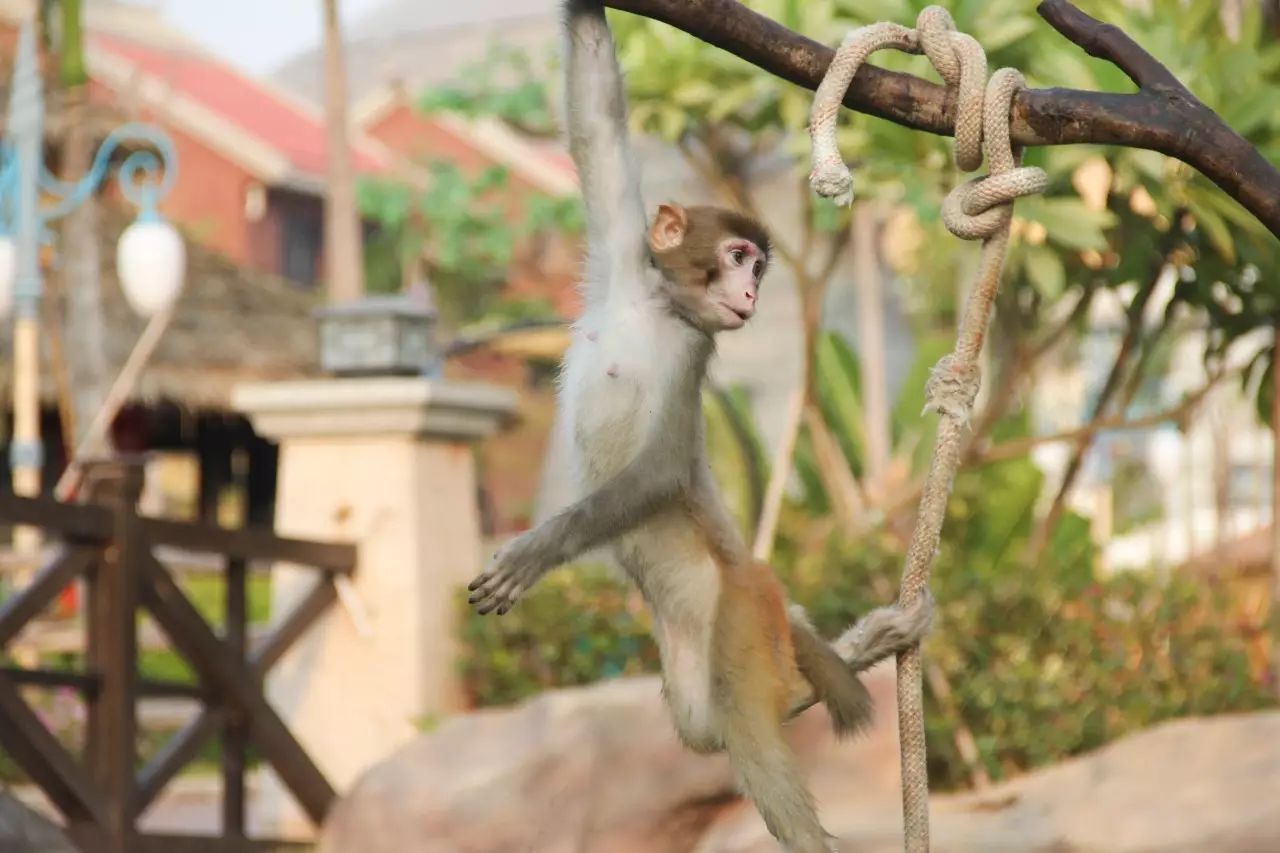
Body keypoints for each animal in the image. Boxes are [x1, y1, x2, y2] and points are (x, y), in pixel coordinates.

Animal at [465, 3, 936, 845]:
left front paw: (535, 550)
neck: (657, 309)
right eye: (742, 256)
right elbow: (596, 122)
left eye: (759, 268)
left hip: (742, 605)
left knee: (745, 723)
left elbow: (659, 470)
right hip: (698, 640)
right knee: (705, 723)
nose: (749, 295)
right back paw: (850, 653)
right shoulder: (622, 261)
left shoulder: (692, 353)